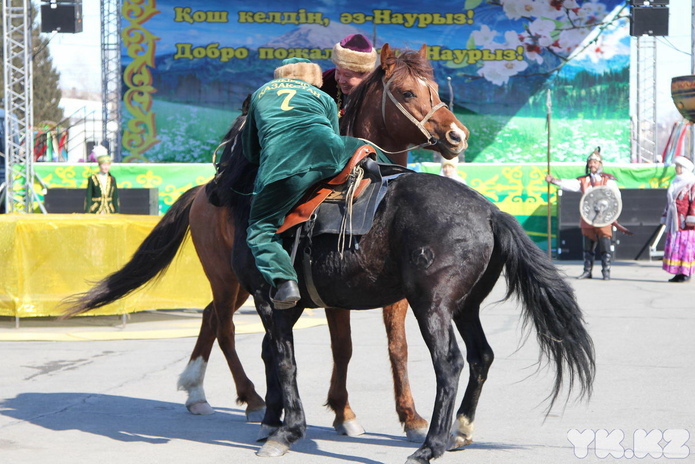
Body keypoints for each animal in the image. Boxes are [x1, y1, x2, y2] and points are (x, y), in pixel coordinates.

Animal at [65, 45, 470, 440]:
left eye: (435, 89)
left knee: (210, 317)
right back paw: (251, 398)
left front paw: (411, 417)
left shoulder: (393, 292)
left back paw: (198, 391)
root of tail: (200, 194)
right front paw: (344, 412)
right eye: (406, 92)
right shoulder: (333, 292)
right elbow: (343, 348)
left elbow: (398, 348)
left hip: (242, 283)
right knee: (225, 328)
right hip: (224, 278)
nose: (457, 135)